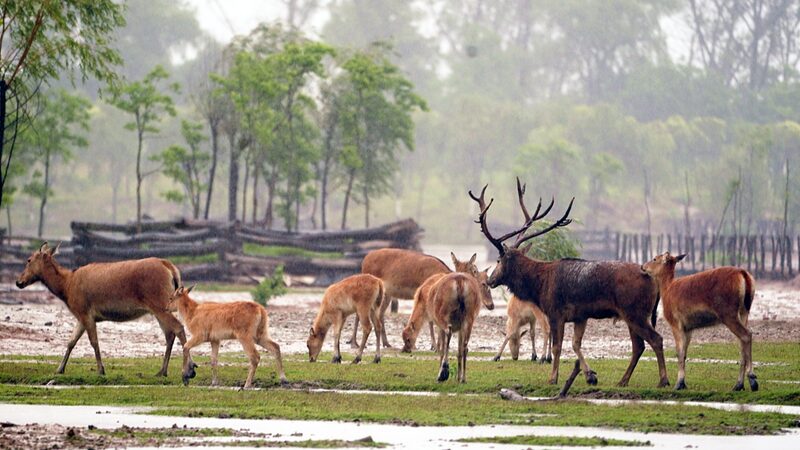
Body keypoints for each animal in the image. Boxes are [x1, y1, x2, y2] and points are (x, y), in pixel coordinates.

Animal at [15, 242, 195, 378]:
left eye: (28, 260)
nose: (18, 282)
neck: (66, 288)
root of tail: (171, 268)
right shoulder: (81, 316)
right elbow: (71, 341)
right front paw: (59, 369)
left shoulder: (85, 311)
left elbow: (93, 341)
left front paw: (101, 370)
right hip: (159, 308)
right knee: (169, 334)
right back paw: (162, 371)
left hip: (159, 303)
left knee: (178, 327)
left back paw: (189, 369)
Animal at [469, 179, 669, 388]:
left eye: (498, 260)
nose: (490, 280)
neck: (539, 285)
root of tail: (653, 280)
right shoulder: (580, 316)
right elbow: (575, 344)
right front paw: (590, 375)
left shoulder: (555, 312)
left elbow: (558, 346)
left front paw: (552, 378)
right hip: (633, 314)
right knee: (639, 346)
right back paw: (623, 380)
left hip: (634, 311)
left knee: (655, 339)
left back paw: (663, 380)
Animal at [642, 252, 758, 391]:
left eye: (654, 259)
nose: (643, 266)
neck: (667, 290)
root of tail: (744, 274)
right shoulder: (689, 327)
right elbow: (684, 354)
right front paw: (683, 383)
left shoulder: (675, 322)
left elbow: (679, 353)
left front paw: (678, 384)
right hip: (745, 311)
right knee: (742, 341)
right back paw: (738, 385)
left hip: (728, 313)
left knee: (746, 335)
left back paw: (752, 379)